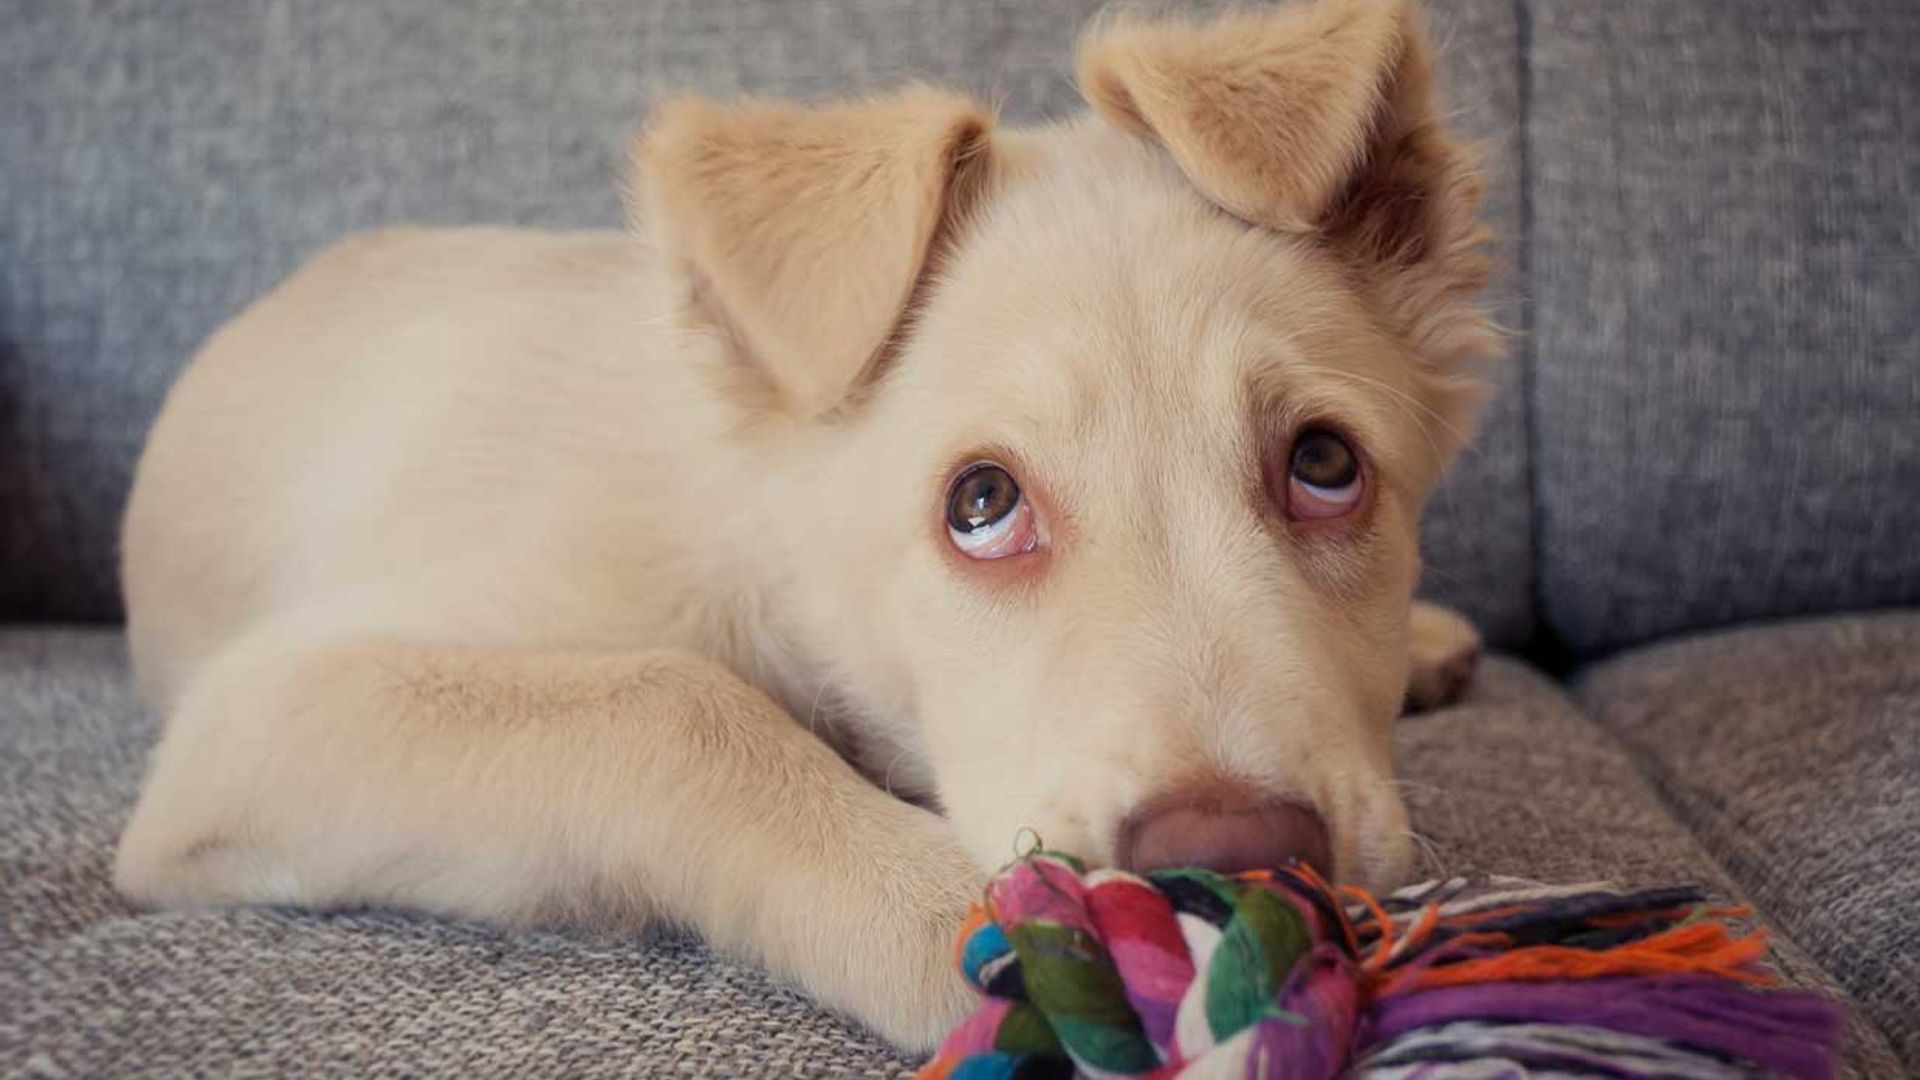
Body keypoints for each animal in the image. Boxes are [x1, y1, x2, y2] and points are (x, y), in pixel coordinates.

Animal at [112, 0, 1497, 1045]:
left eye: (1324, 465)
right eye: (981, 505)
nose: (1247, 860)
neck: (760, 530)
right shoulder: (262, 716)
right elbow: (668, 703)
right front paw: (964, 923)